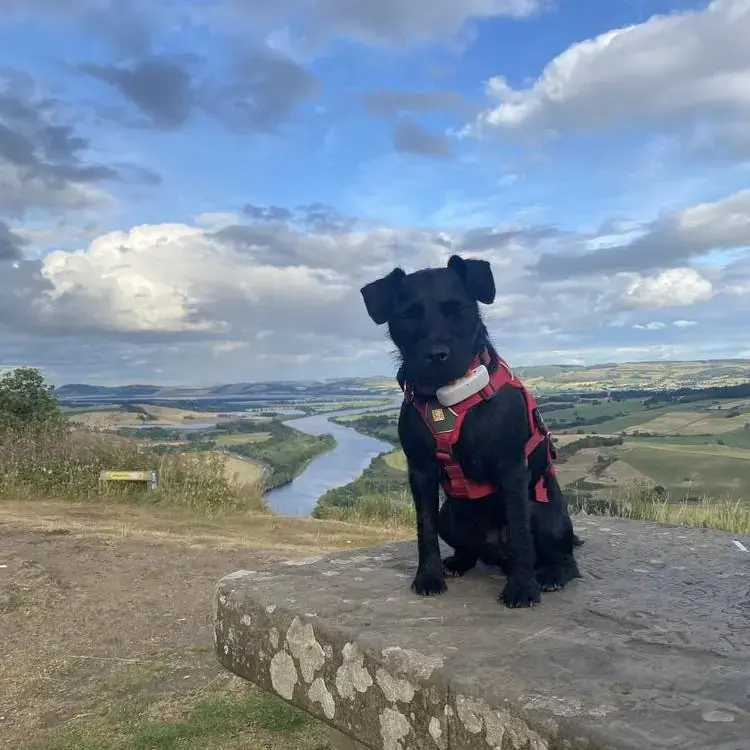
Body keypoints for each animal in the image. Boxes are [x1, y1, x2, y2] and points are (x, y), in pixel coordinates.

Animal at [362, 256, 584, 608]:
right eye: (408, 316)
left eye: (458, 310)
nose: (436, 354)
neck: (446, 398)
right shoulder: (420, 472)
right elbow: (424, 531)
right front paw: (428, 576)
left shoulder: (511, 468)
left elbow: (520, 535)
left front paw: (522, 587)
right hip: (450, 516)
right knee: (469, 548)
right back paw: (457, 562)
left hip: (546, 516)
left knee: (563, 558)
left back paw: (550, 574)